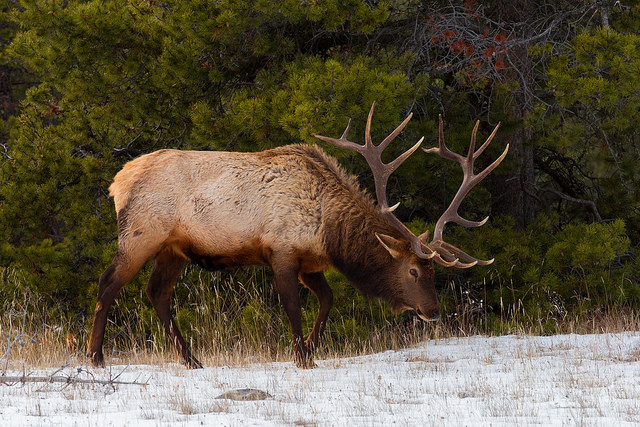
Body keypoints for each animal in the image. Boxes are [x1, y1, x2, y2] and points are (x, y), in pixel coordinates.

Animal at [87, 103, 508, 368]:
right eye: (414, 271)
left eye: (435, 272)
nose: (432, 311)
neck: (329, 232)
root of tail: (116, 183)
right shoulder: (282, 250)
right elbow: (291, 305)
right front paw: (301, 356)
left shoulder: (311, 263)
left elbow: (327, 300)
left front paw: (310, 348)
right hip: (141, 234)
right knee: (108, 283)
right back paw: (95, 356)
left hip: (174, 249)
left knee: (157, 293)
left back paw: (191, 360)